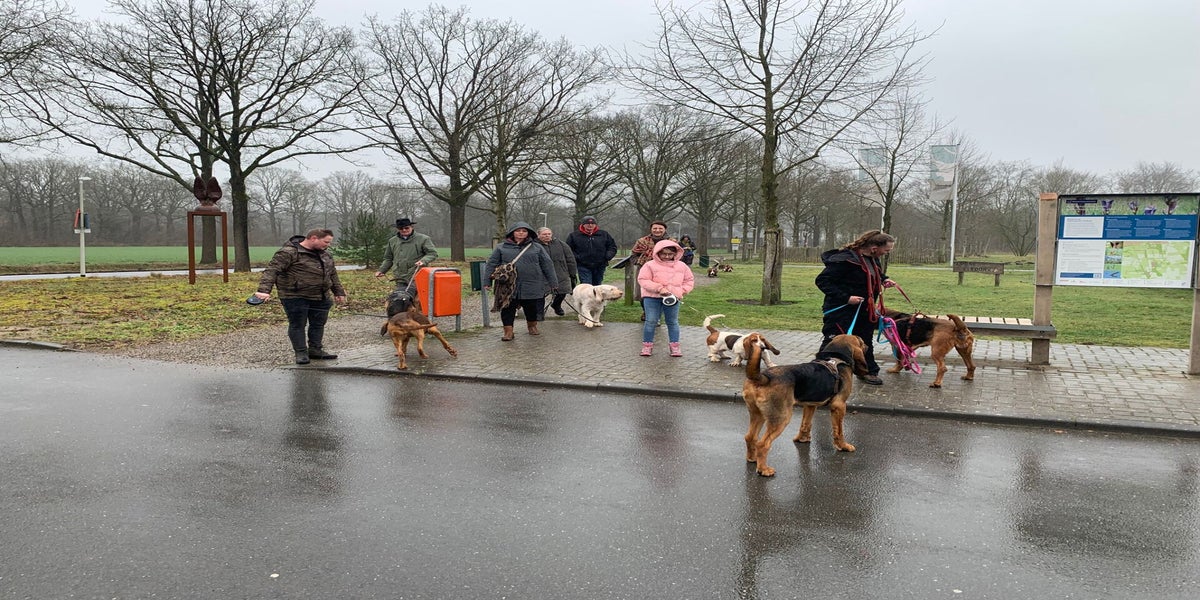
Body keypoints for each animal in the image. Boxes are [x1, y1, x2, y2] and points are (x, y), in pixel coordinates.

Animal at [742, 334, 868, 477]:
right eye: (862, 342)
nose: (868, 346)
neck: (836, 356)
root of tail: (763, 376)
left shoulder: (810, 405)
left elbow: (805, 424)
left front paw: (802, 439)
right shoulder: (839, 406)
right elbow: (839, 431)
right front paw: (843, 446)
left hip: (758, 415)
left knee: (750, 437)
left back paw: (752, 458)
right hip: (781, 418)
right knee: (762, 444)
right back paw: (764, 469)